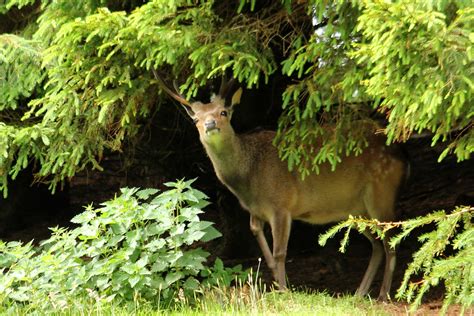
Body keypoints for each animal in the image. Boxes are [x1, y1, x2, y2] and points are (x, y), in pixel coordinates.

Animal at [155, 71, 408, 302]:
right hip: (356, 209)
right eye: (195, 119)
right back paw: (359, 293)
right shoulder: (256, 211)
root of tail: (400, 156)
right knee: (377, 244)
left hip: (381, 194)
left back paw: (383, 295)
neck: (248, 181)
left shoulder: (281, 204)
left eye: (223, 112)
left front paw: (285, 290)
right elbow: (262, 246)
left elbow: (279, 253)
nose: (210, 124)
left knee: (391, 241)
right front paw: (277, 285)